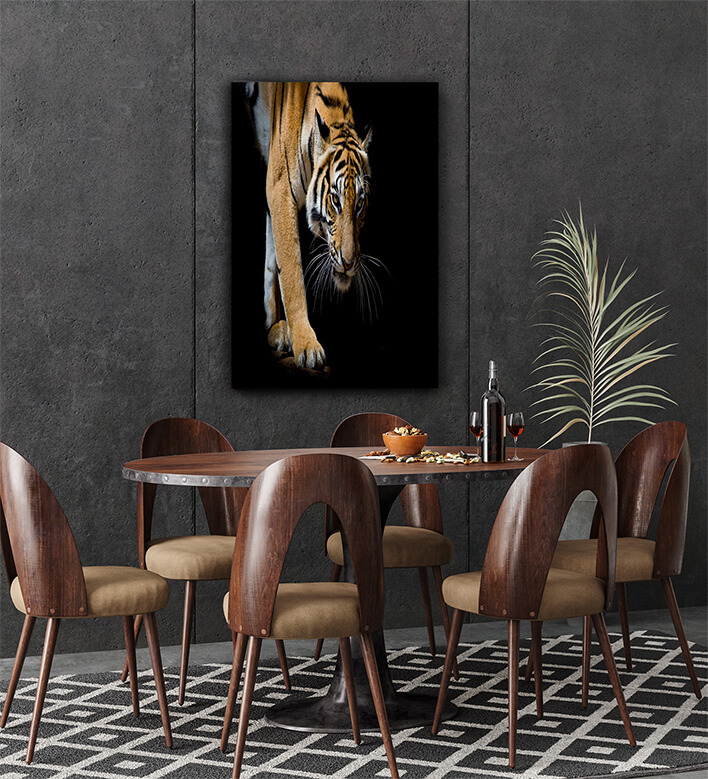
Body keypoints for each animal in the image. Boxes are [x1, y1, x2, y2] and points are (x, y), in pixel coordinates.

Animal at [245, 82, 373, 370]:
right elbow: (291, 275)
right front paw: (306, 343)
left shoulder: (274, 193)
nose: (349, 263)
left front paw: (280, 329)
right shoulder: (279, 188)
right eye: (335, 200)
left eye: (359, 204)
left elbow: (273, 259)